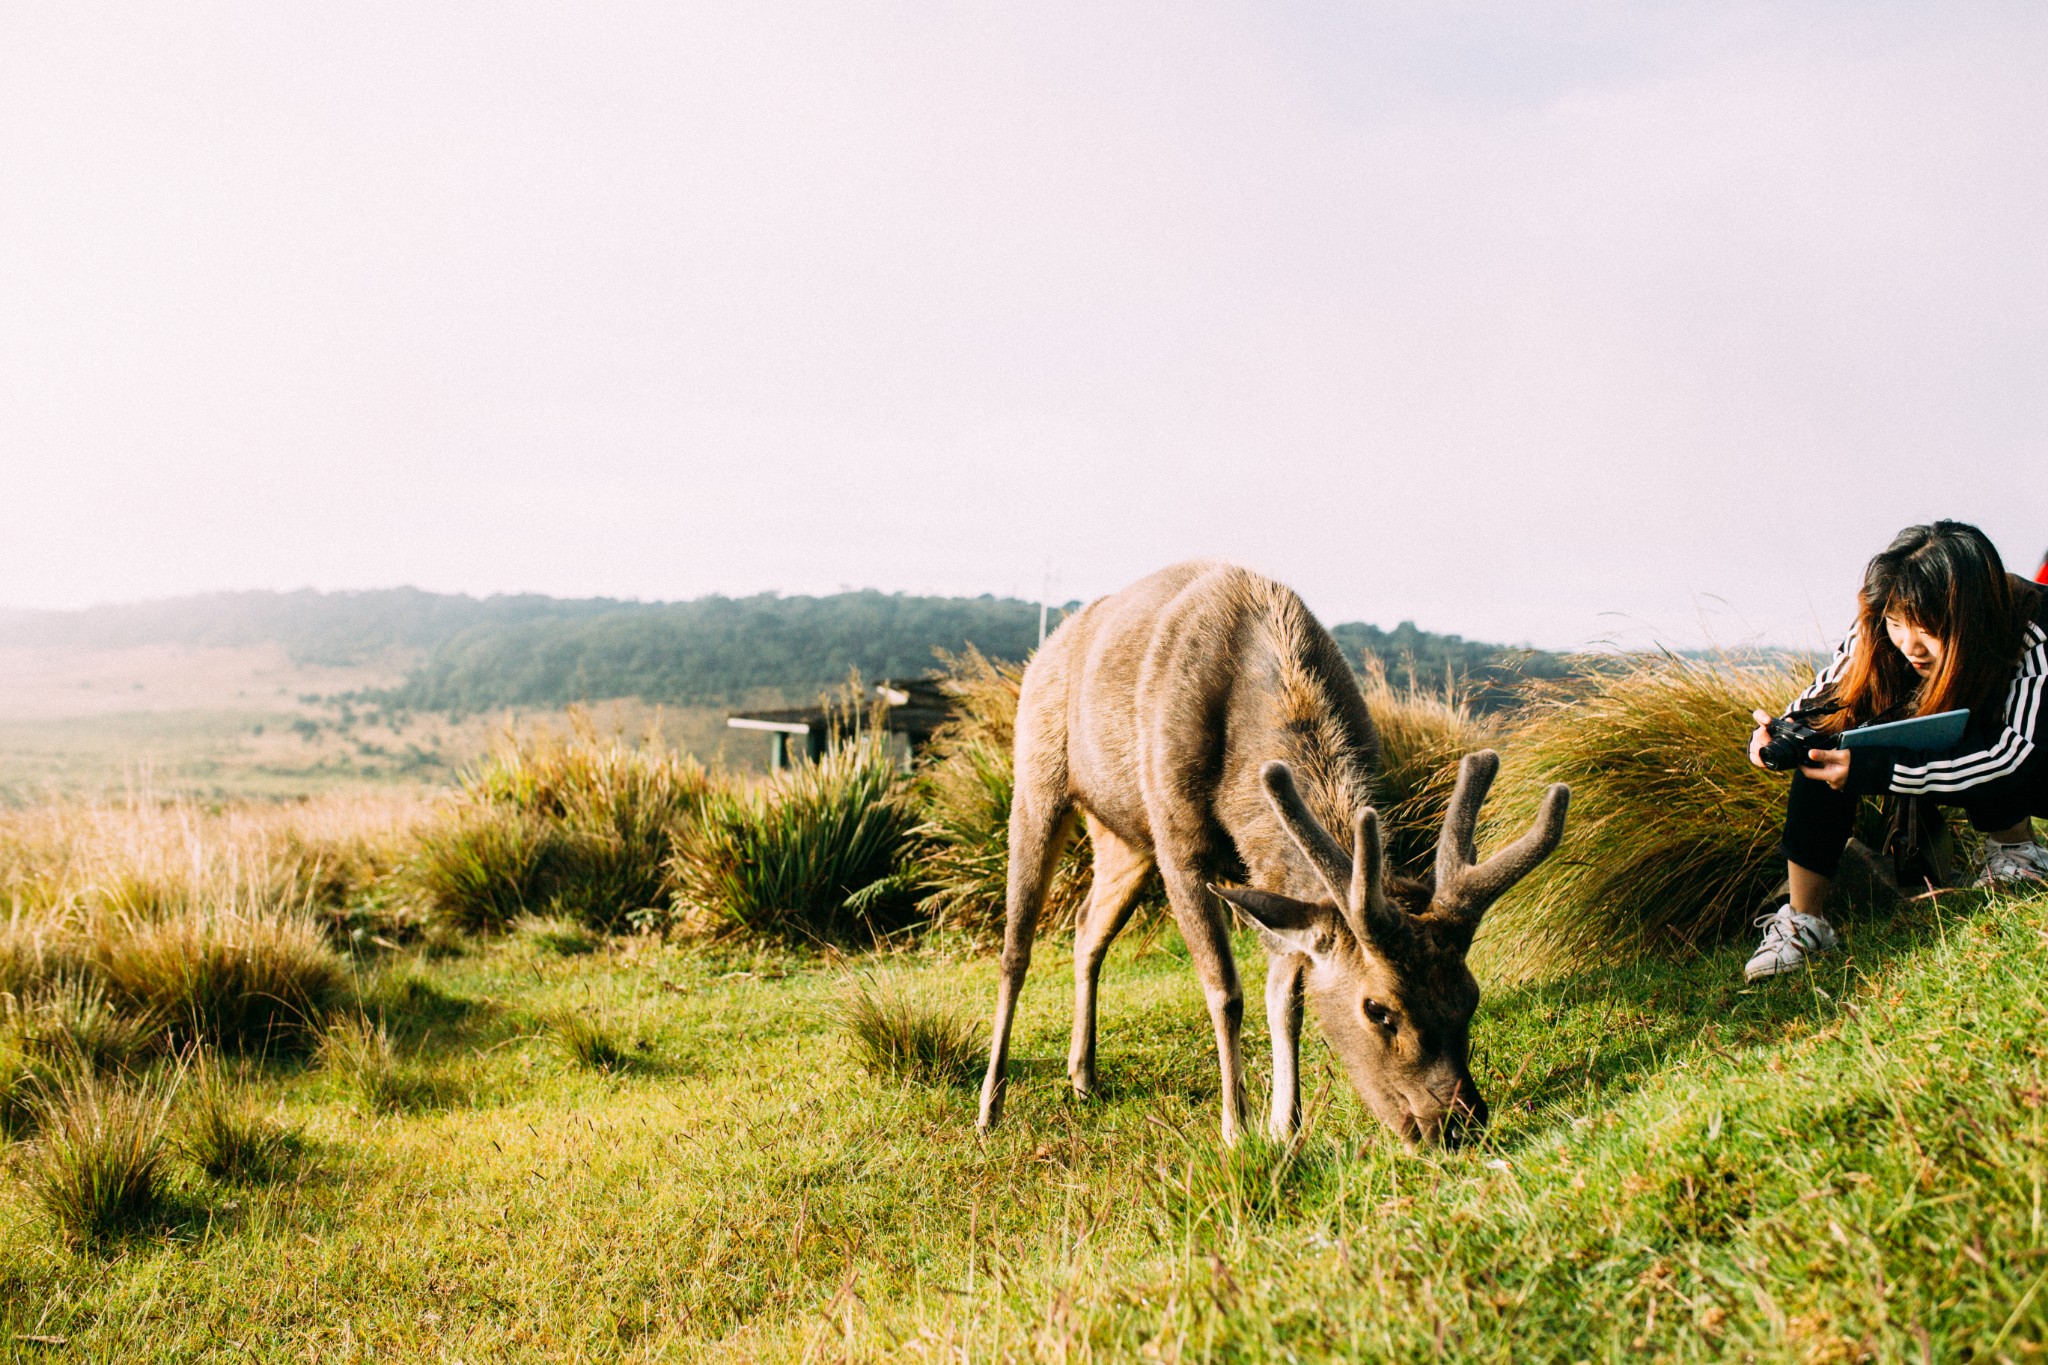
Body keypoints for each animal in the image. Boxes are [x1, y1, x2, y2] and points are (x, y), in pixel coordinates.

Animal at [974, 560, 1564, 1146]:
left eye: (1470, 995)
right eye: (1377, 1009)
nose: (1458, 1124)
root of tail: (1047, 648)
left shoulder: (1278, 884)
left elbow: (1286, 995)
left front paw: (1286, 1125)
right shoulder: (1177, 840)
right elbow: (1226, 991)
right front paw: (1236, 1129)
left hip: (1124, 838)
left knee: (1085, 927)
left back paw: (1082, 1076)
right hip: (1038, 779)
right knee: (1016, 950)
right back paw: (990, 1106)